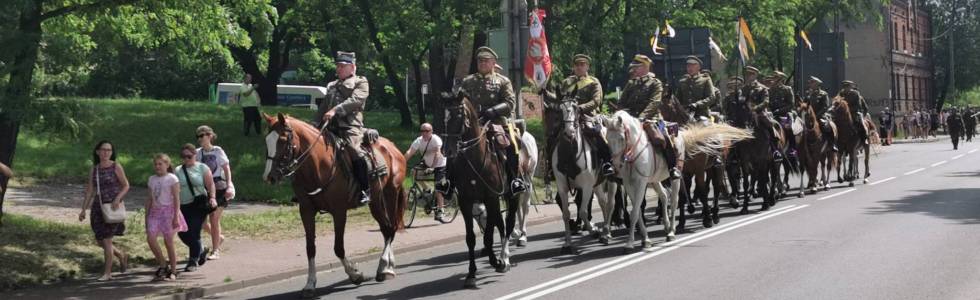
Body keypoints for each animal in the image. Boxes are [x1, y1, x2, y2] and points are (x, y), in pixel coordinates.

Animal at [260, 113, 406, 298]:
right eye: (267, 140)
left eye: (283, 139)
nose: (269, 177)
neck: (318, 165)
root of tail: (392, 147)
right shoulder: (306, 211)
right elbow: (310, 248)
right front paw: (310, 284)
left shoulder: (339, 211)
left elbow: (338, 248)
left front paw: (355, 274)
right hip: (376, 201)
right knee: (386, 229)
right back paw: (386, 266)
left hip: (390, 194)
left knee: (390, 228)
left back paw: (385, 268)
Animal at [552, 101, 612, 253]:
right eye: (560, 111)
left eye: (577, 110)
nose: (569, 132)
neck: (570, 156)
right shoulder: (562, 187)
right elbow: (566, 214)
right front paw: (567, 243)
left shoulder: (586, 187)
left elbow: (583, 211)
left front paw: (593, 230)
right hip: (597, 185)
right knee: (603, 203)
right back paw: (605, 233)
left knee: (608, 203)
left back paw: (606, 233)